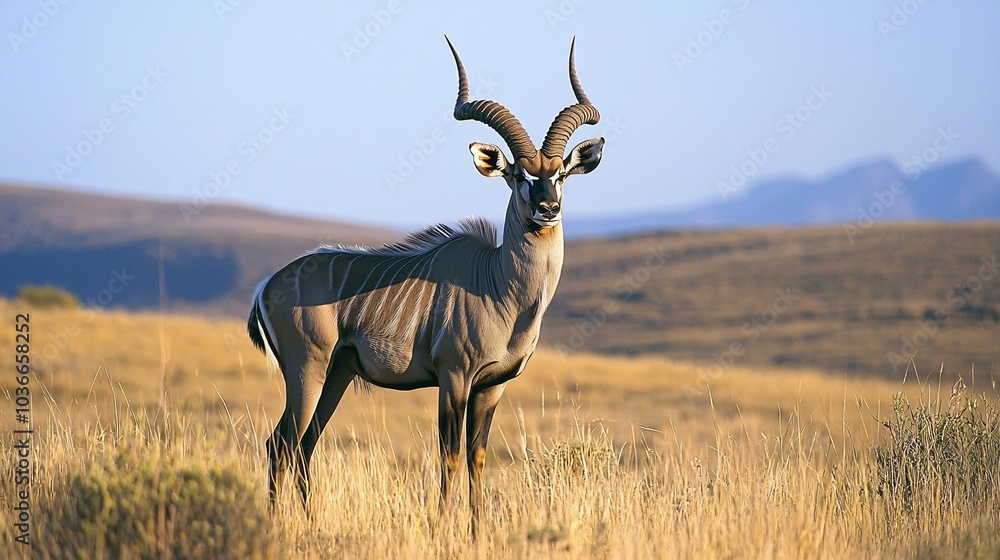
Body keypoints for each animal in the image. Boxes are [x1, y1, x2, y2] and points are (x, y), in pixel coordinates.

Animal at [248, 36, 604, 533]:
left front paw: (477, 530)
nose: (548, 209)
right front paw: (441, 528)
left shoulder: (492, 386)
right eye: (518, 175)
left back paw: (313, 524)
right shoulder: (453, 379)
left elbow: (476, 457)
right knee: (280, 442)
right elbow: (449, 457)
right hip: (307, 373)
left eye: (562, 174)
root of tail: (267, 286)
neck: (499, 286)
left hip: (335, 376)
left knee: (303, 445)